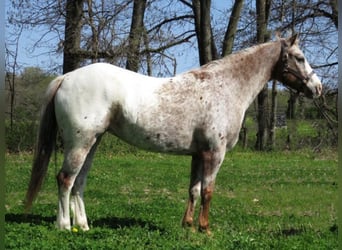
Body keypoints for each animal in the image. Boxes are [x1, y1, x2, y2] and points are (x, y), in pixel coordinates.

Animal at [25, 34, 322, 235]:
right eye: (300, 57)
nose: (317, 88)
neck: (225, 87)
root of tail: (67, 77)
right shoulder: (215, 153)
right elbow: (208, 191)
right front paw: (205, 229)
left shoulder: (198, 154)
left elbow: (194, 189)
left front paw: (188, 225)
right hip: (80, 142)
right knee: (65, 179)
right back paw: (64, 225)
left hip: (92, 142)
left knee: (79, 182)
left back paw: (83, 225)